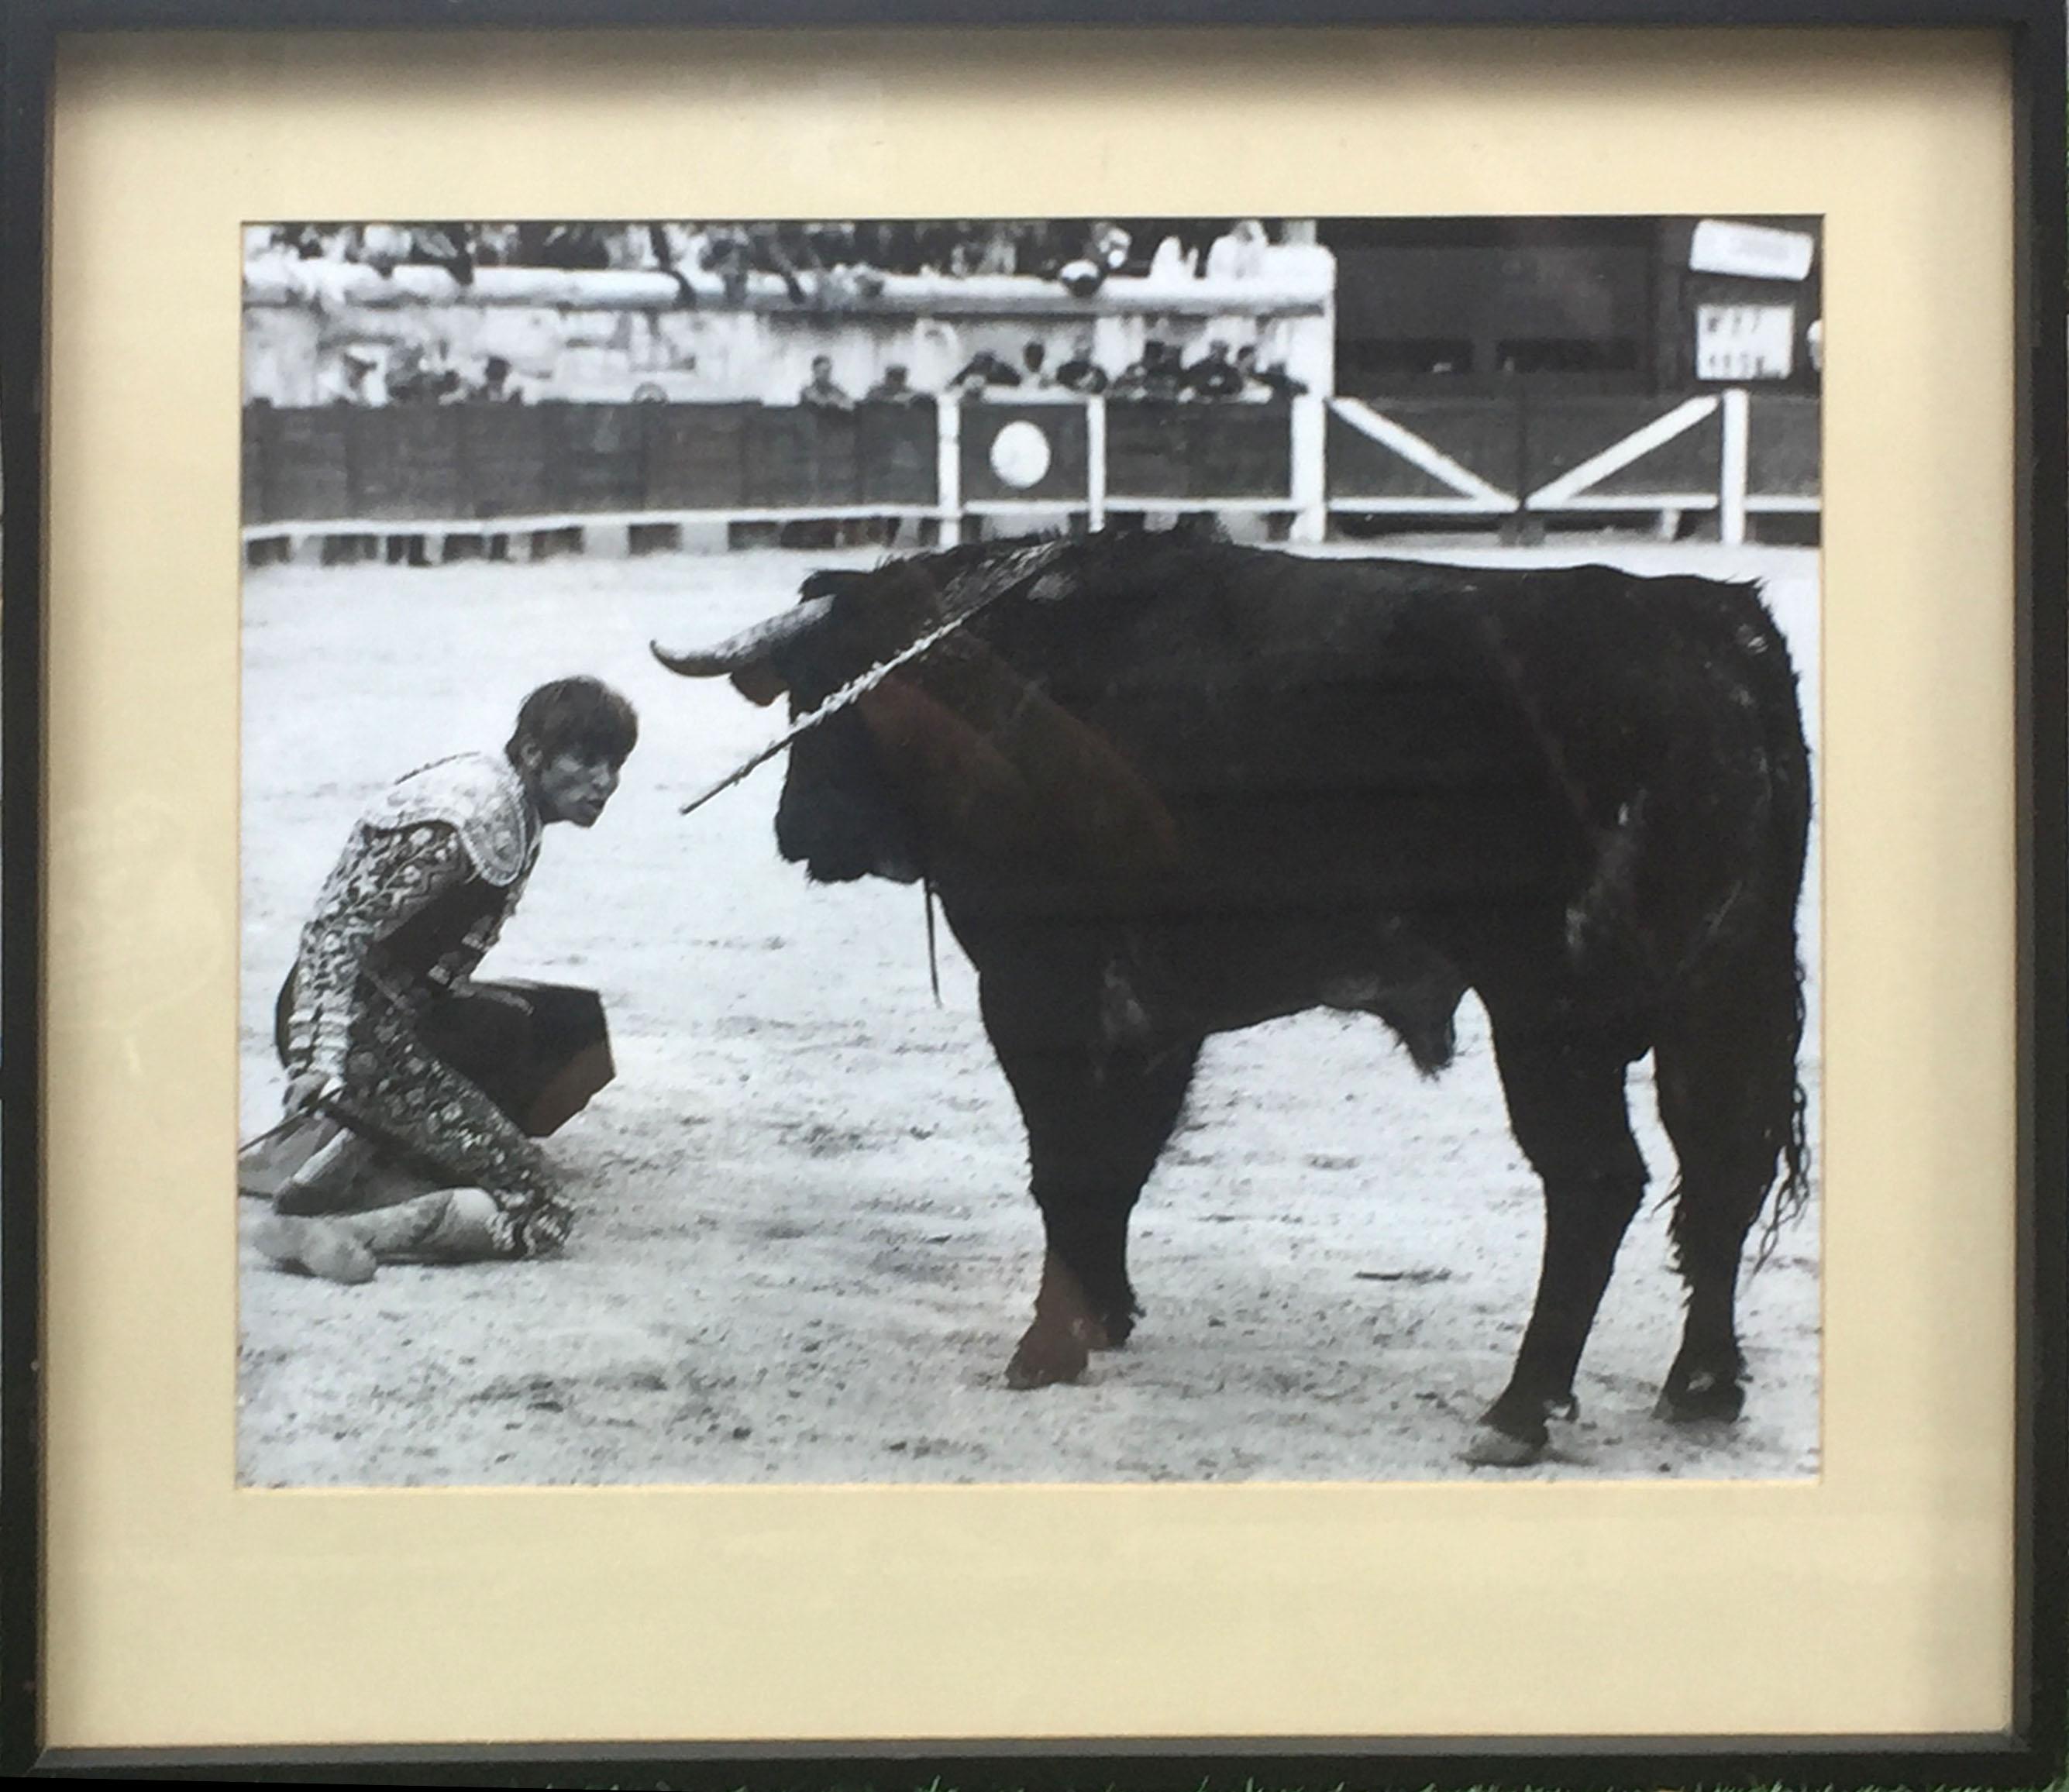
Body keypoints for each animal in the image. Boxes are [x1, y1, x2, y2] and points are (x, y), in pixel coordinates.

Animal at [653, 523, 1804, 1457]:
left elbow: (1064, 1162)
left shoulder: (1034, 986)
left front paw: (1047, 1344)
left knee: (1599, 1182)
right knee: (1723, 1167)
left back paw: (1521, 1409)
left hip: (1550, 1009)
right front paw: (1105, 1314)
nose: (800, 832)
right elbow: (1119, 1162)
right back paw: (1703, 1385)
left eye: (824, 693)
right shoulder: (1159, 1011)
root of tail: (1711, 627)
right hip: (1722, 989)